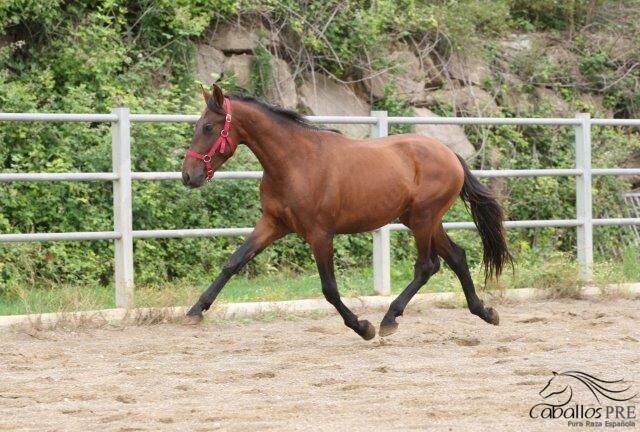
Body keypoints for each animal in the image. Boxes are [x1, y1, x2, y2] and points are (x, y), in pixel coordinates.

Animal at [180, 84, 510, 340]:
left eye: (208, 127)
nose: (188, 175)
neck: (295, 163)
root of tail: (450, 154)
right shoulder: (273, 224)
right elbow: (233, 262)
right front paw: (195, 311)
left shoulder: (319, 234)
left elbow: (329, 288)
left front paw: (363, 327)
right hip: (421, 220)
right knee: (456, 257)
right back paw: (485, 312)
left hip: (422, 219)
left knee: (427, 266)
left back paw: (389, 320)